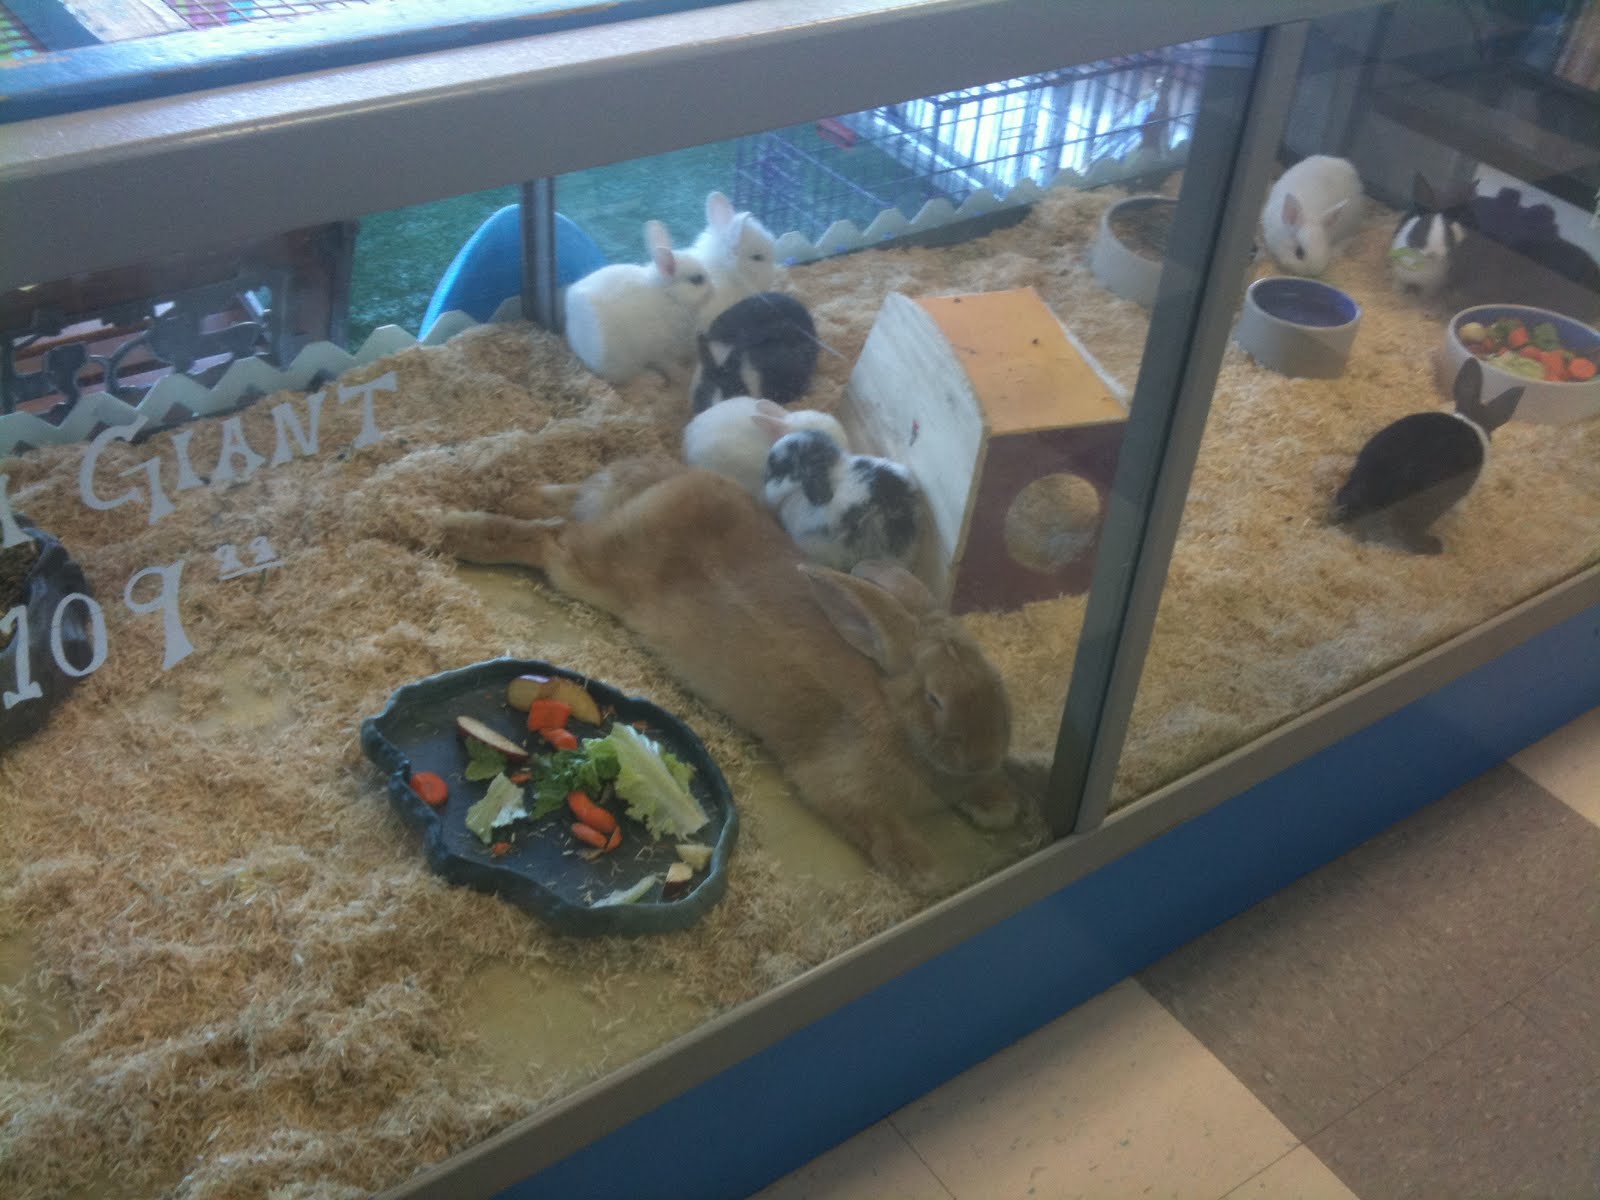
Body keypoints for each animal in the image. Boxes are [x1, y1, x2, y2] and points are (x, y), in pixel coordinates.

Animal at [434, 461, 1030, 892]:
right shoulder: (841, 786)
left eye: (1000, 693)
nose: (981, 757)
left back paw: (515, 496)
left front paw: (999, 806)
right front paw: (926, 872)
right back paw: (460, 533)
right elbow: (876, 825)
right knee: (552, 540)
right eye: (935, 698)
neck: (896, 717)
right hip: (587, 570)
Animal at [563, 220, 713, 385]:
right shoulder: (662, 352)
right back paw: (654, 380)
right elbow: (669, 366)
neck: (670, 297)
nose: (713, 291)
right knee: (629, 378)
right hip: (621, 363)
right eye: (696, 279)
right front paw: (683, 377)